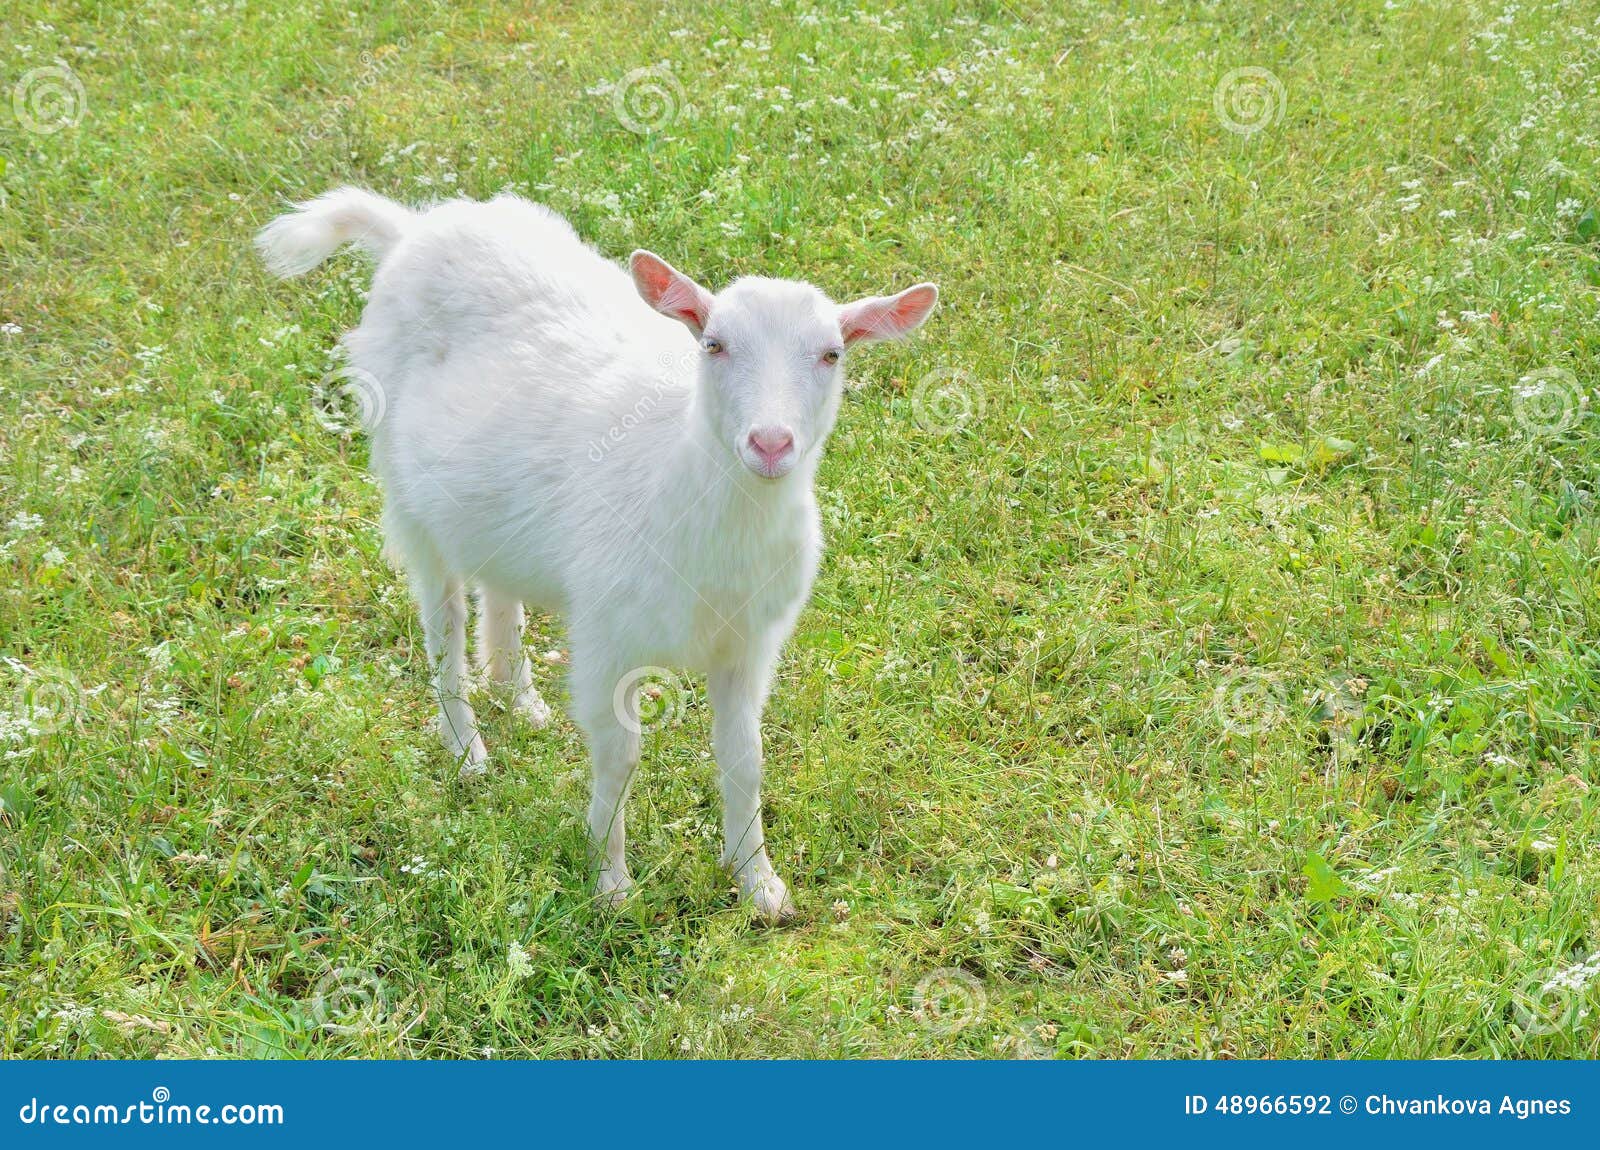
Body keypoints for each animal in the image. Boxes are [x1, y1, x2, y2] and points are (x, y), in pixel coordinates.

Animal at [256, 188, 938, 922]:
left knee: (498, 579)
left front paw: (759, 884)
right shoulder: (609, 636)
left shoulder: (749, 642)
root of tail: (413, 228)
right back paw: (467, 749)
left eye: (833, 354)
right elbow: (620, 757)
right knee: (442, 621)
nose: (771, 443)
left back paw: (519, 697)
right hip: (406, 492)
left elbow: (745, 757)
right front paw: (610, 886)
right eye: (713, 344)